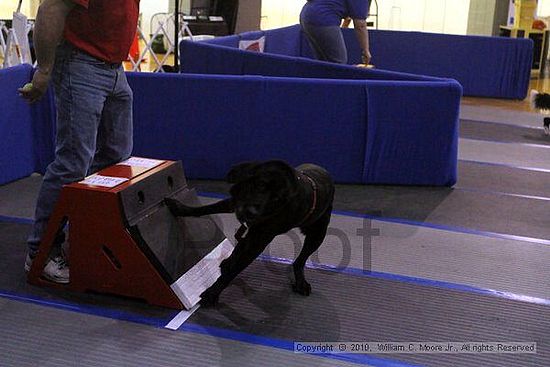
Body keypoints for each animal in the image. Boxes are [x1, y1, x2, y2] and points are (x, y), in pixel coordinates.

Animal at [165, 161, 336, 308]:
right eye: (260, 185)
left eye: (277, 198)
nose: (251, 212)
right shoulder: (235, 204)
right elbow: (204, 209)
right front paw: (179, 208)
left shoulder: (259, 241)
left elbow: (233, 272)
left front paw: (212, 294)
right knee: (241, 244)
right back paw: (229, 260)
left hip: (317, 236)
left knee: (299, 261)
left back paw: (301, 282)